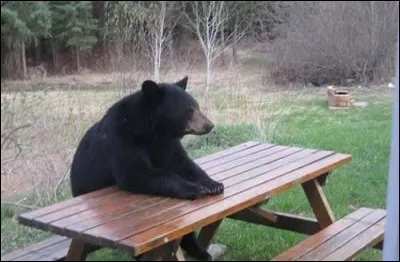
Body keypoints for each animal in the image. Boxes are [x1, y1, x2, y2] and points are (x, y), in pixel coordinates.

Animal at [70, 75, 223, 260]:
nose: (210, 125)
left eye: (196, 106)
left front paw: (213, 184)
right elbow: (136, 173)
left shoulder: (166, 144)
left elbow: (183, 163)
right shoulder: (122, 138)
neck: (151, 131)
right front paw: (196, 188)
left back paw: (200, 251)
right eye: (188, 110)